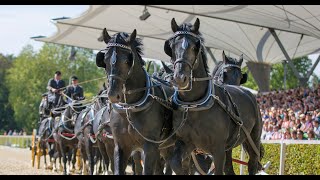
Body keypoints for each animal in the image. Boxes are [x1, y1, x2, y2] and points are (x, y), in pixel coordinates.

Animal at [95, 29, 175, 174]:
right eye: (105, 60)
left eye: (127, 60)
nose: (113, 95)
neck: (130, 108)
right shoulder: (121, 146)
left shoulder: (149, 148)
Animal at [165, 17, 262, 174]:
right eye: (171, 46)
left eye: (195, 46)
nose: (180, 78)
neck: (194, 104)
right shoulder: (186, 143)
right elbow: (176, 164)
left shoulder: (218, 150)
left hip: (253, 139)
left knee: (252, 163)